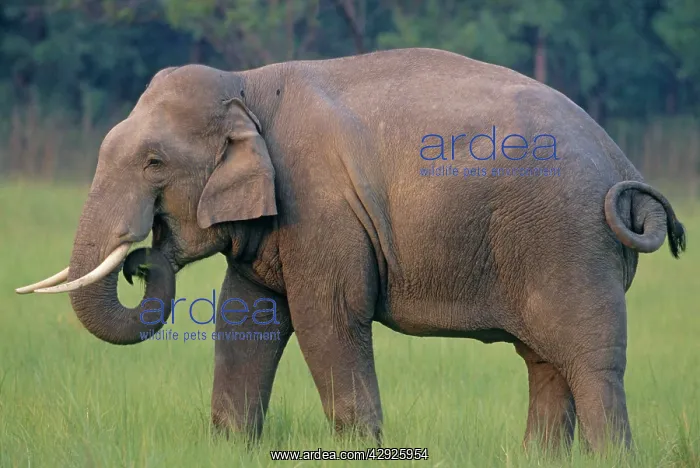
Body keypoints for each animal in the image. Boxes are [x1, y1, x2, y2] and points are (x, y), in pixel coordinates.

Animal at [16, 47, 686, 454]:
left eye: (154, 162)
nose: (138, 261)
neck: (248, 84)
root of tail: (624, 161)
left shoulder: (320, 207)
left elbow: (329, 319)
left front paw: (361, 451)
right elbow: (245, 318)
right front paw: (230, 447)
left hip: (569, 240)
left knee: (589, 362)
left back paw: (613, 454)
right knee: (545, 361)